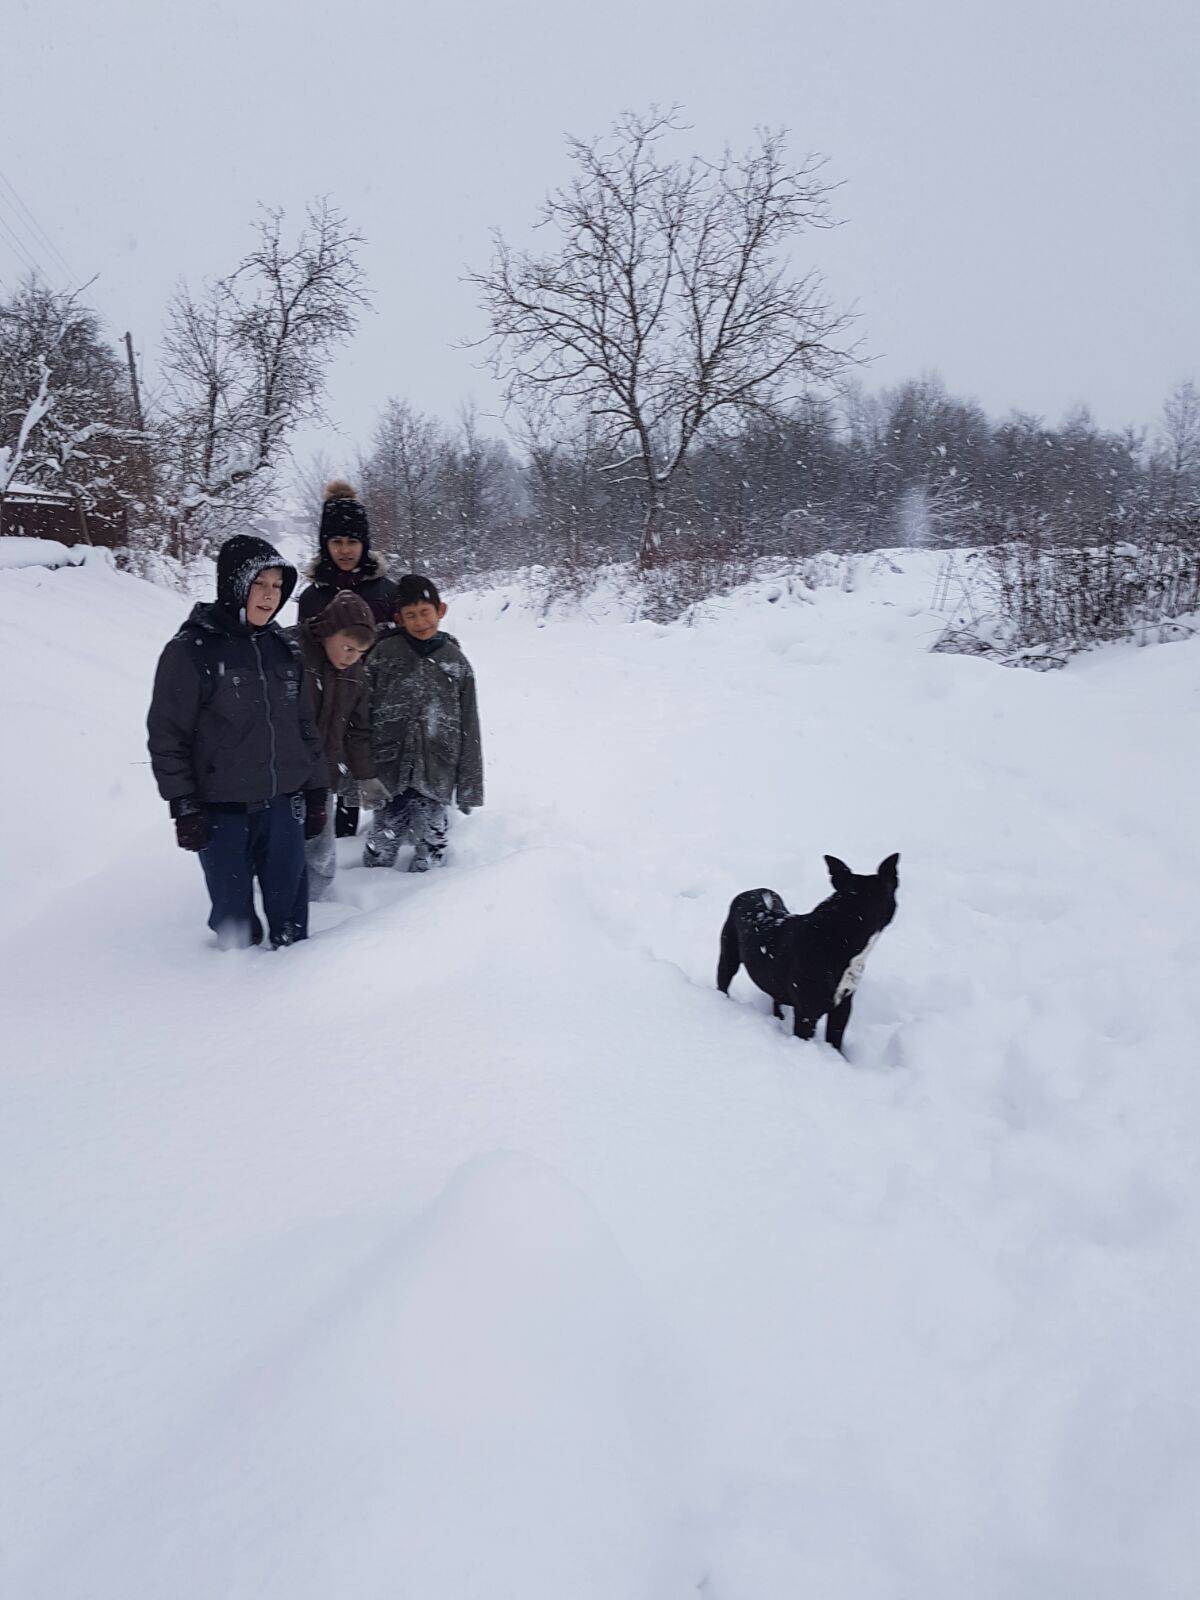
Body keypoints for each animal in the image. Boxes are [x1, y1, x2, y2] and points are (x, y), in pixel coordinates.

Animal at [713, 851, 902, 1049]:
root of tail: (752, 891)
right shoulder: (807, 1014)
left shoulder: (843, 1007)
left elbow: (835, 1040)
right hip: (728, 957)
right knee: (724, 980)